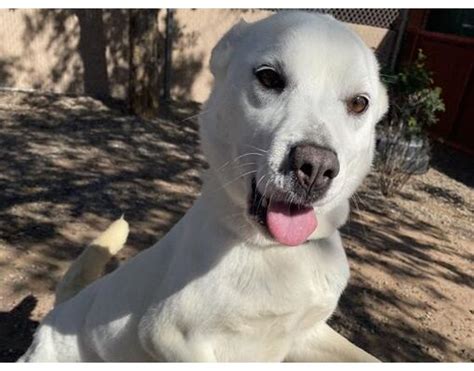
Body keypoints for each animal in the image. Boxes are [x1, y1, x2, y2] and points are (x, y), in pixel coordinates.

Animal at [20, 12, 386, 364]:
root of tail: (63, 307)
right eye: (268, 77)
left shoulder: (307, 334)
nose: (316, 167)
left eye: (359, 103)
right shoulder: (169, 335)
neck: (272, 250)